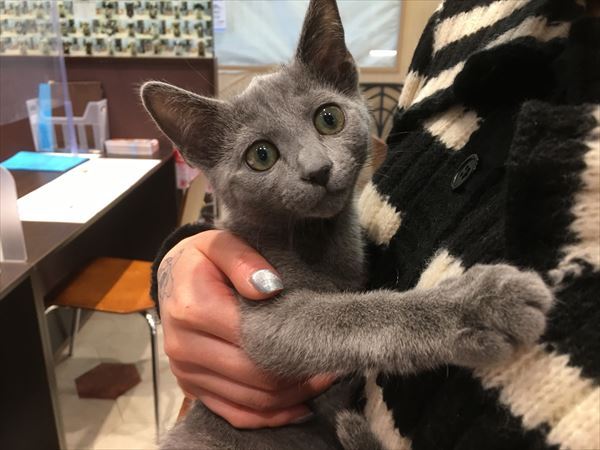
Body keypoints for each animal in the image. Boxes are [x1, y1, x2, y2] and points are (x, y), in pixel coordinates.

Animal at [141, 0, 553, 448]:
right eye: (261, 155)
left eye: (329, 118)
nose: (317, 170)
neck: (318, 240)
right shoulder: (262, 315)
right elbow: (355, 314)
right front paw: (480, 305)